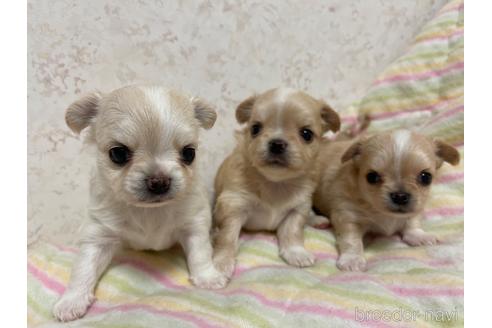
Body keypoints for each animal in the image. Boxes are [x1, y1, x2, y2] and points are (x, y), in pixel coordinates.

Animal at [52, 83, 227, 322]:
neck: (148, 211)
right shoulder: (98, 235)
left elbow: (200, 253)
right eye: (118, 154)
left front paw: (208, 277)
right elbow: (84, 267)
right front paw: (72, 300)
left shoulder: (194, 223)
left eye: (189, 153)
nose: (159, 181)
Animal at [213, 86, 340, 278]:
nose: (277, 143)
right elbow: (227, 237)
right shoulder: (233, 205)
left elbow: (293, 231)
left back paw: (317, 219)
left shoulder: (298, 208)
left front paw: (297, 253)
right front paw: (221, 262)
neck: (275, 183)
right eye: (255, 129)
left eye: (306, 134)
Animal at [314, 130, 460, 272]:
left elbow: (412, 222)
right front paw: (352, 259)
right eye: (372, 177)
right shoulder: (346, 215)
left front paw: (419, 236)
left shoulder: (416, 209)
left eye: (426, 177)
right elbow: (351, 239)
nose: (400, 195)